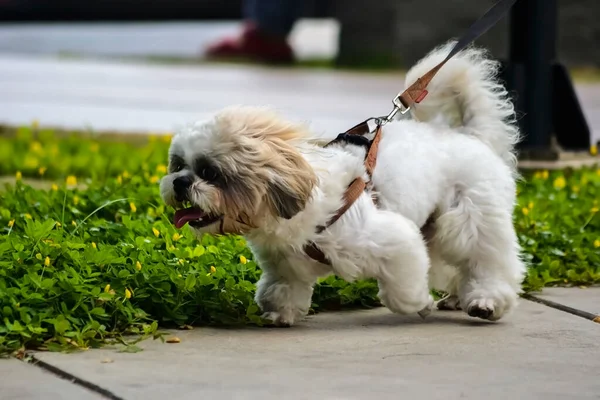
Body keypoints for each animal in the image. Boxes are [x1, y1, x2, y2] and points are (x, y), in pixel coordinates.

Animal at [159, 42, 524, 326]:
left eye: (210, 173)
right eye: (177, 165)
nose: (179, 182)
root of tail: (471, 136)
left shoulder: (393, 240)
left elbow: (403, 290)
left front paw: (420, 304)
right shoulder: (284, 264)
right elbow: (281, 288)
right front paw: (280, 312)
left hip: (469, 220)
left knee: (488, 261)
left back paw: (485, 300)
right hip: (435, 228)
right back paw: (456, 296)